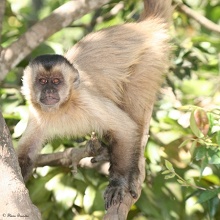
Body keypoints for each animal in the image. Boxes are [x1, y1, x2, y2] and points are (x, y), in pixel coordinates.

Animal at [17, 0, 172, 210]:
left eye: (56, 81)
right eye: (42, 81)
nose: (49, 91)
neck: (62, 108)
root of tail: (143, 26)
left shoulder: (85, 98)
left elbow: (125, 128)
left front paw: (118, 182)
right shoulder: (37, 114)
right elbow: (25, 155)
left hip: (150, 57)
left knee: (134, 111)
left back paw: (133, 173)